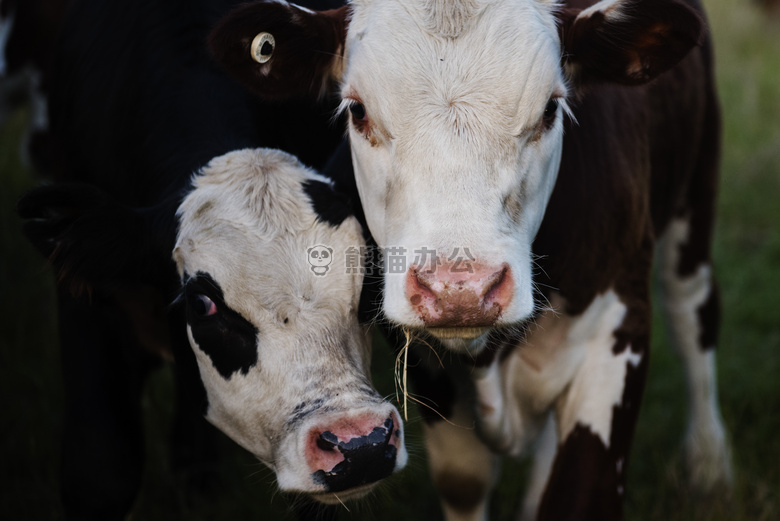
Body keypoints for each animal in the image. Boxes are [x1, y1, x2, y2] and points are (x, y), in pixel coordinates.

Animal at [212, 0, 732, 516]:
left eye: (551, 109)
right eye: (357, 111)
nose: (459, 290)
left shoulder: (617, 331)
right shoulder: (430, 371)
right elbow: (466, 479)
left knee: (691, 309)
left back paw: (708, 461)